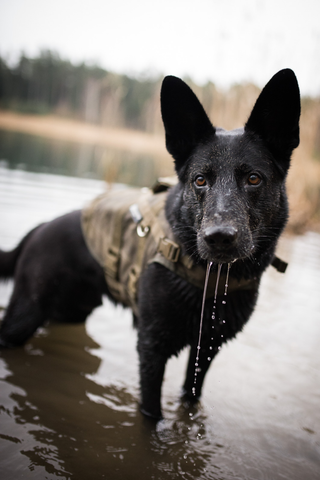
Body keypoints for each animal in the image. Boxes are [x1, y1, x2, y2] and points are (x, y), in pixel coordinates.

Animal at [0, 69, 300, 418]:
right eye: (200, 180)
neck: (209, 281)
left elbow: (191, 397)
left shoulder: (206, 350)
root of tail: (38, 230)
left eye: (254, 179)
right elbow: (151, 414)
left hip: (69, 311)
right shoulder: (152, 348)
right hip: (25, 315)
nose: (219, 238)